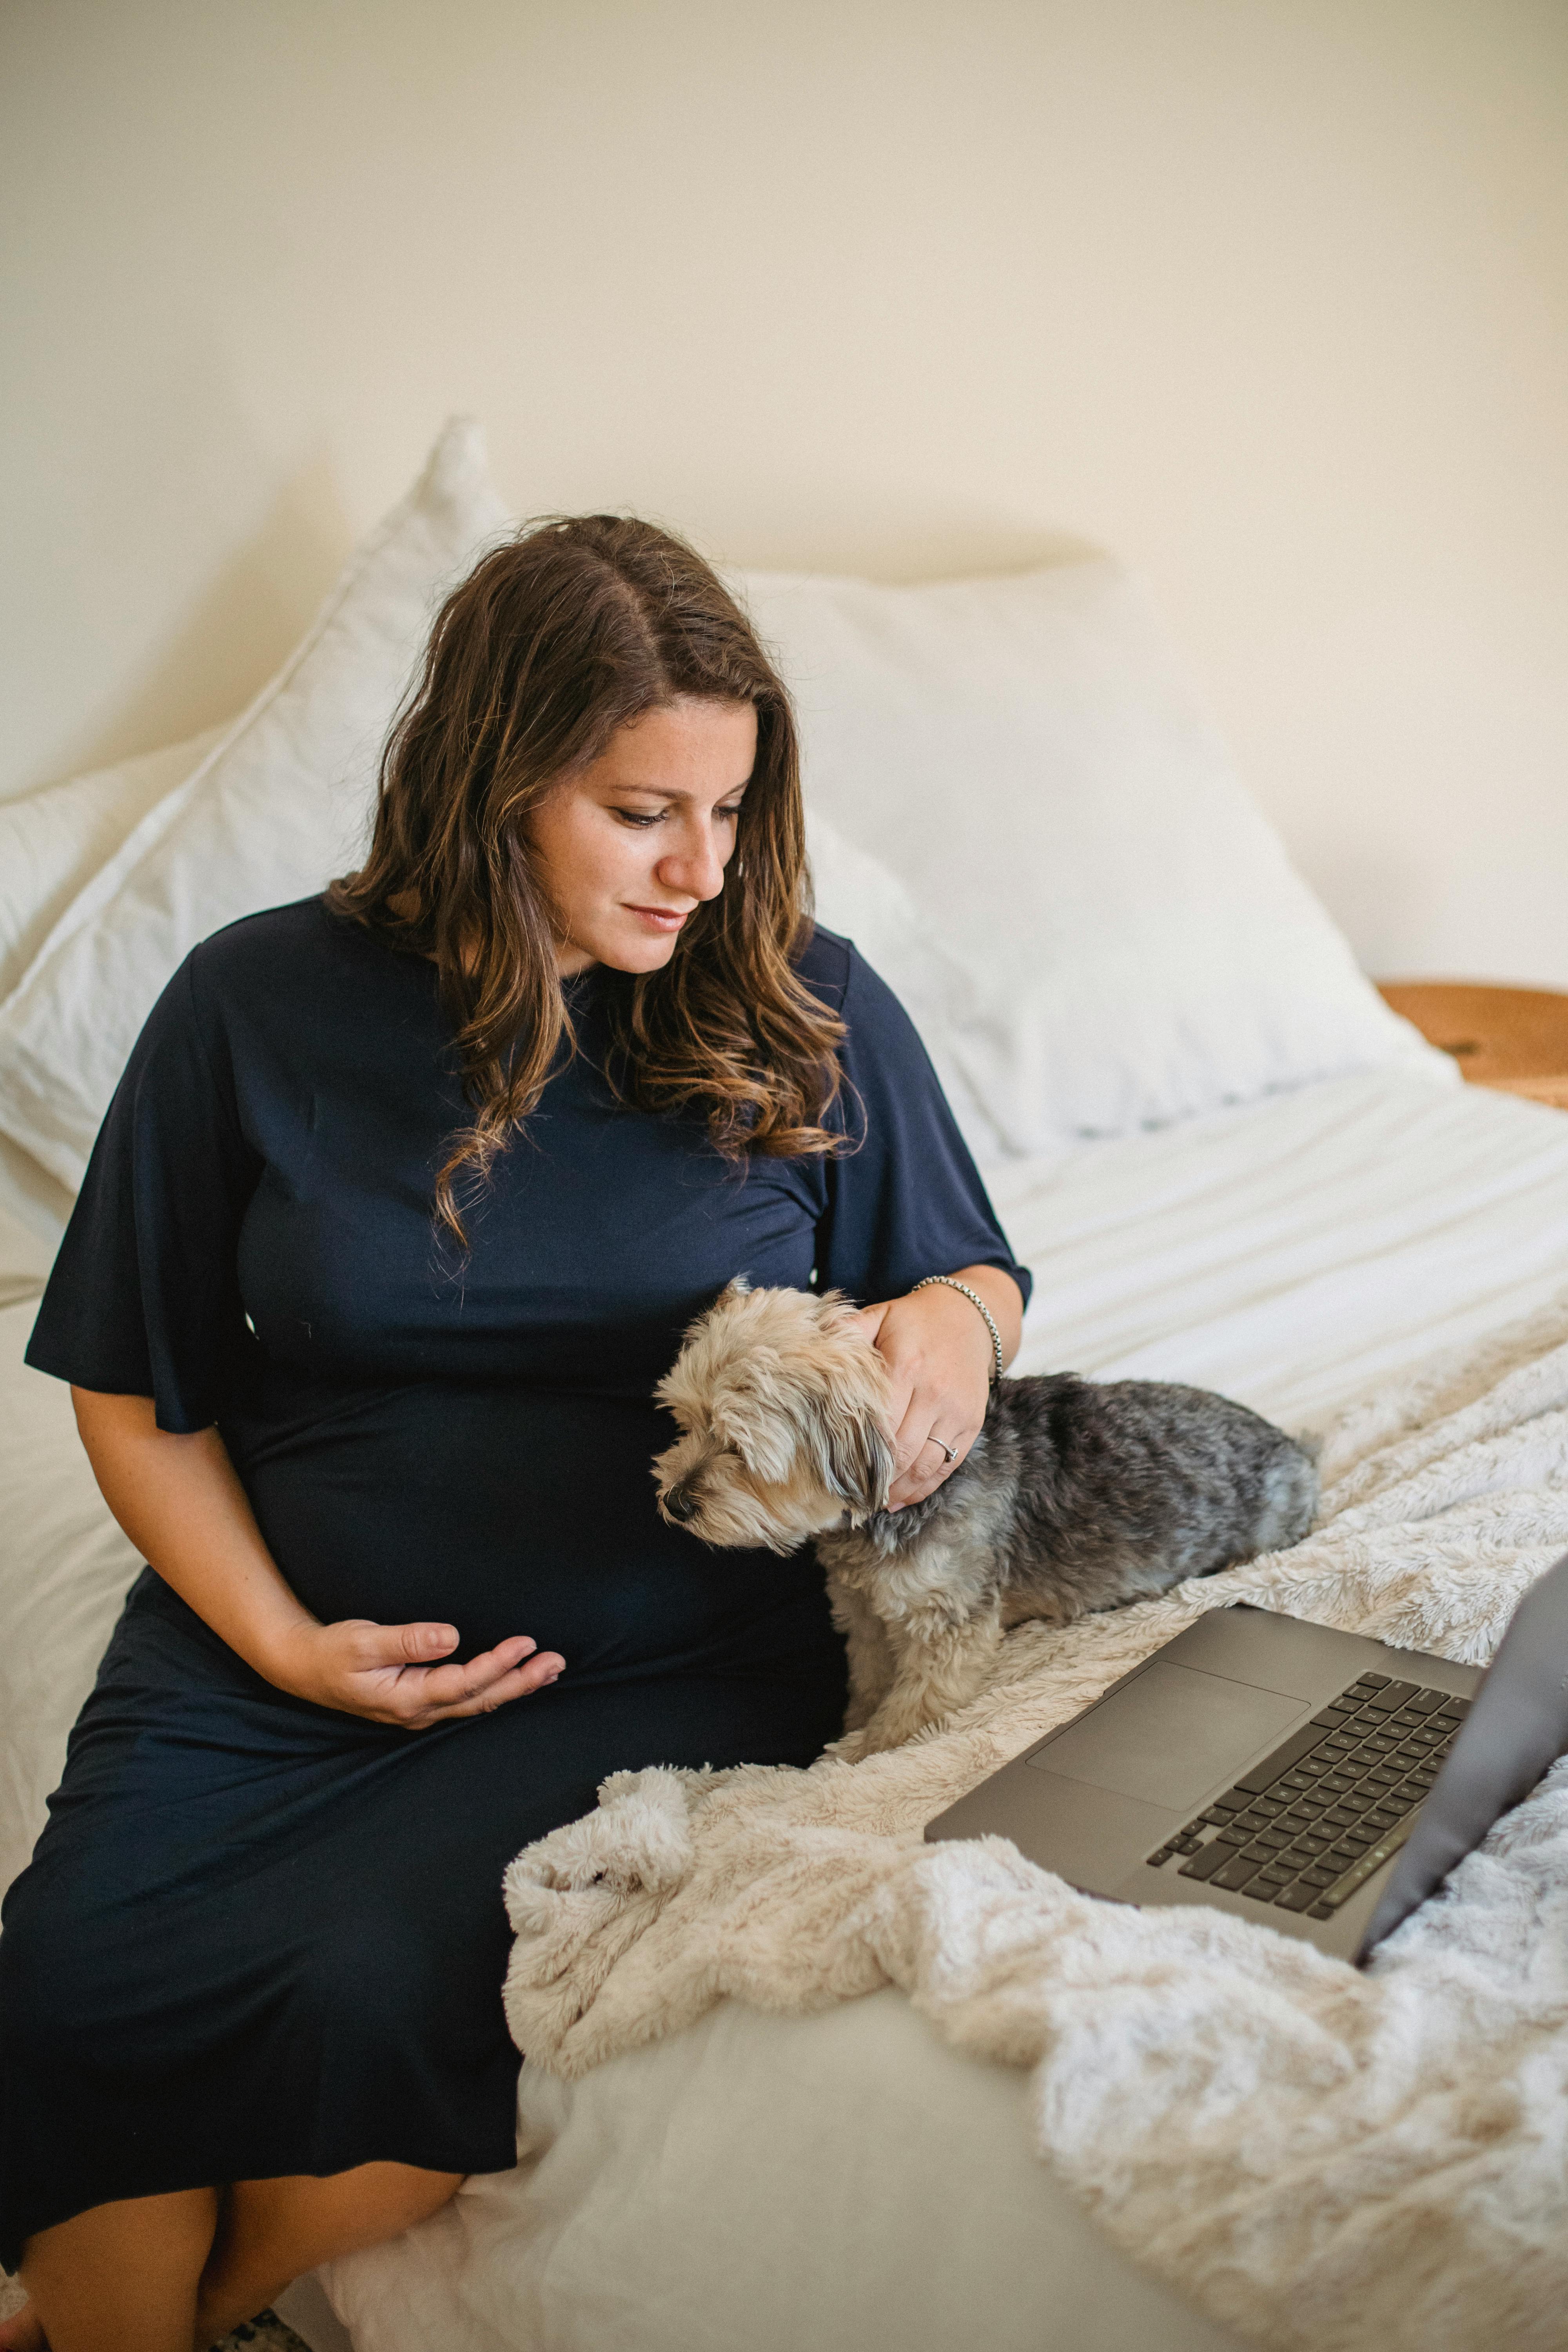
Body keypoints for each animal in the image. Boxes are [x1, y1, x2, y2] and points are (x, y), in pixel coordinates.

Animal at [649, 1279, 1326, 1759]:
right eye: (684, 1422)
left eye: (738, 1450)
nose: (674, 1502)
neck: (876, 1514)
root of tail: (1298, 1451)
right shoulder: (863, 1609)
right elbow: (868, 1682)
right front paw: (852, 1726)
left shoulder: (947, 1624)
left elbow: (907, 1715)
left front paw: (855, 1754)